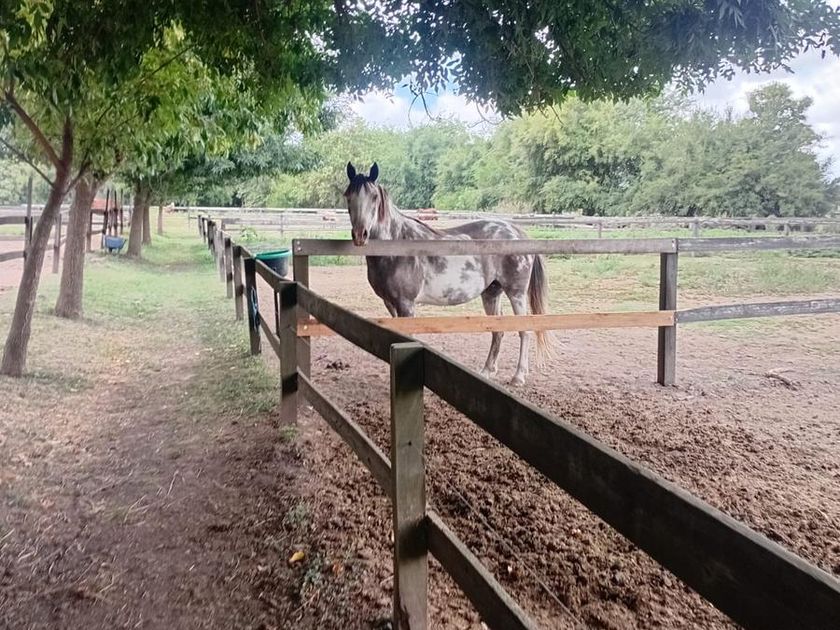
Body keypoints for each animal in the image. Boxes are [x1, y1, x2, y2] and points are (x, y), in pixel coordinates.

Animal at [344, 161, 553, 385]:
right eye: (347, 195)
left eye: (374, 196)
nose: (360, 235)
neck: (397, 244)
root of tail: (517, 231)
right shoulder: (390, 304)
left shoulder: (406, 304)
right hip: (491, 292)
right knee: (497, 329)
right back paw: (487, 371)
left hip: (516, 293)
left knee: (524, 329)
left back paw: (518, 376)